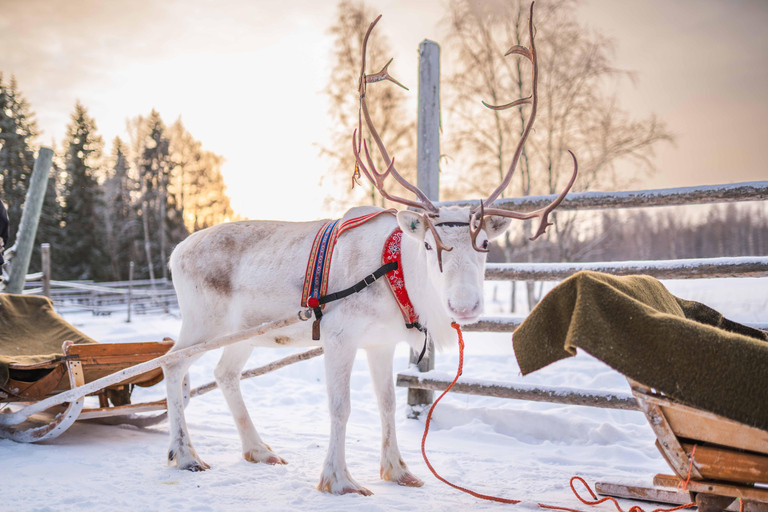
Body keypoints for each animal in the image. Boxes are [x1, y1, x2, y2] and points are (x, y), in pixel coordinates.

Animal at [163, 2, 576, 496]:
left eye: (486, 244)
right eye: (430, 243)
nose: (465, 305)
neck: (395, 273)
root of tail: (175, 252)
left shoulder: (381, 343)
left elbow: (387, 404)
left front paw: (398, 470)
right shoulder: (340, 337)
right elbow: (340, 408)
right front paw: (339, 480)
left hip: (244, 332)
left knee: (224, 373)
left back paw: (258, 450)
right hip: (202, 323)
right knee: (172, 366)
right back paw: (185, 454)